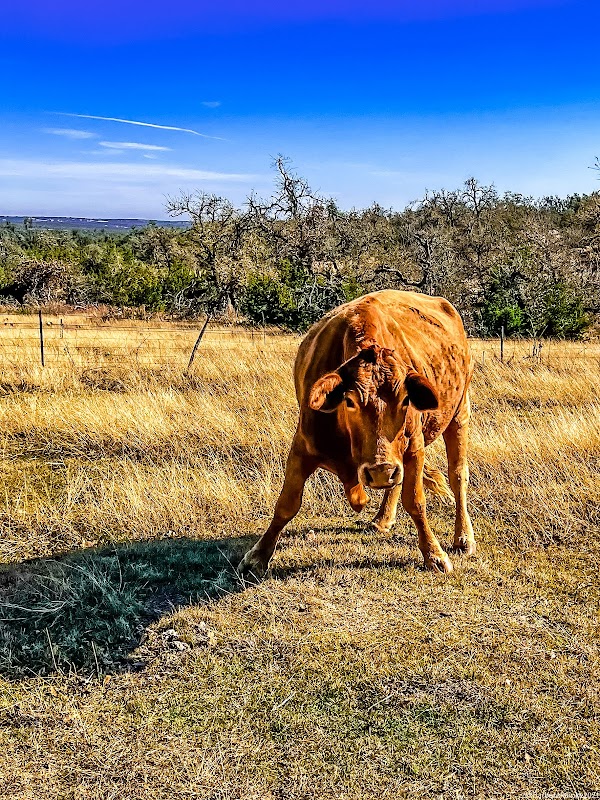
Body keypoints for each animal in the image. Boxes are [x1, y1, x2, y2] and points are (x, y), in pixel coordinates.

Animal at [238, 289, 475, 579]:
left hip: (459, 413)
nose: (381, 470)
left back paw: (463, 537)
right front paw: (258, 557)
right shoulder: (302, 447)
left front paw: (434, 554)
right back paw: (382, 519)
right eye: (349, 401)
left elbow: (416, 501)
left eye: (406, 399)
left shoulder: (414, 448)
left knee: (458, 474)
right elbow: (287, 504)